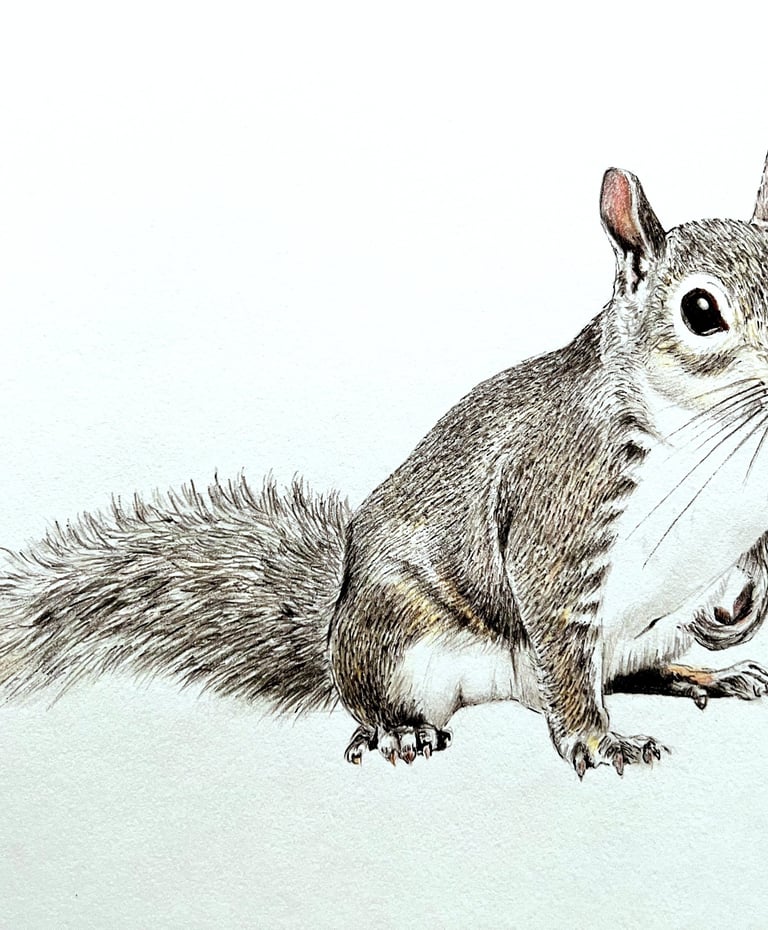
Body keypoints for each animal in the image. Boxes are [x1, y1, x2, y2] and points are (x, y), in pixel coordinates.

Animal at [4, 154, 768, 779]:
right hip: (396, 638)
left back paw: (707, 673)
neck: (723, 442)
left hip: (643, 631)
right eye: (701, 310)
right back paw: (401, 730)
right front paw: (599, 744)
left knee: (631, 669)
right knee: (477, 688)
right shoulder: (563, 505)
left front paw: (745, 602)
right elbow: (557, 628)